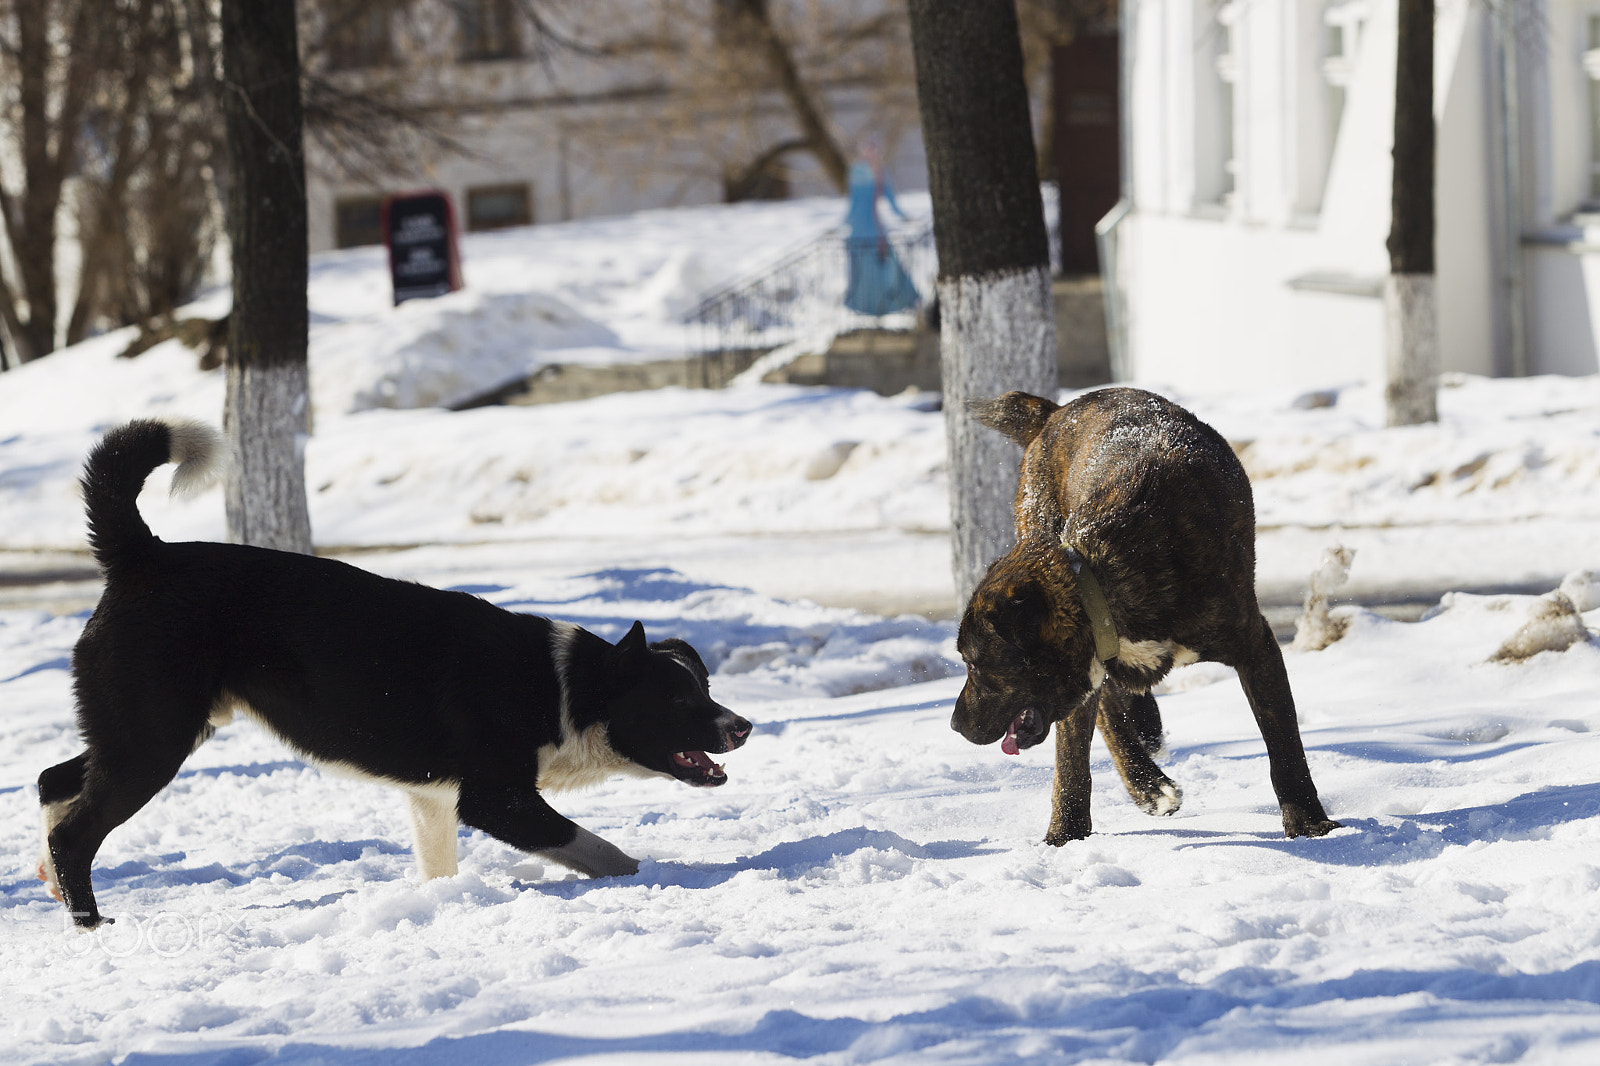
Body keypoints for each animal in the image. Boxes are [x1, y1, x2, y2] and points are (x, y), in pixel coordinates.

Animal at [40, 419, 752, 928]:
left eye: (706, 686)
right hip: (152, 743)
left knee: (55, 782)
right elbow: (604, 852)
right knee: (76, 831)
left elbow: (441, 869)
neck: (562, 686)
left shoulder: (433, 799)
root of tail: (142, 556)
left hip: (147, 732)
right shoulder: (498, 799)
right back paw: (89, 923)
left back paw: (50, 883)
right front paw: (662, 876)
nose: (744, 727)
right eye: (677, 697)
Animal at [947, 385, 1337, 845]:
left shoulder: (1255, 645)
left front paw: (1308, 823)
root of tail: (1057, 411)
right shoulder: (1085, 671)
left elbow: (1284, 744)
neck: (1101, 573)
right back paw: (1148, 777)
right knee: (1112, 712)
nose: (954, 724)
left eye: (975, 663)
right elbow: (1073, 761)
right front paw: (1065, 837)